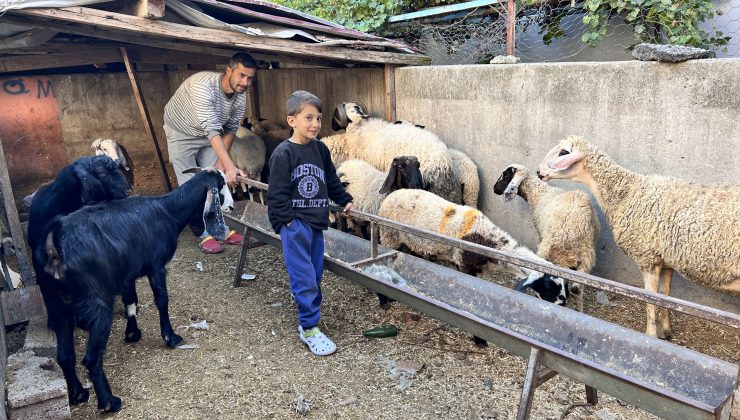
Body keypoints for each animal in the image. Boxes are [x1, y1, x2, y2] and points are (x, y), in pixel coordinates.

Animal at [36, 168, 233, 414]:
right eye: (222, 185)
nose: (231, 206)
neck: (168, 211)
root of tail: (54, 245)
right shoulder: (156, 266)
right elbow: (161, 299)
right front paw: (170, 337)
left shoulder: (127, 273)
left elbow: (131, 300)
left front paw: (132, 334)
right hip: (97, 302)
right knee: (91, 358)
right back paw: (109, 402)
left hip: (56, 305)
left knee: (65, 355)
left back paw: (79, 394)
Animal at [492, 164, 600, 312]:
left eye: (506, 175)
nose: (494, 189)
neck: (539, 193)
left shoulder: (540, 234)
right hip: (586, 259)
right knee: (577, 289)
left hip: (552, 250)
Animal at [536, 136, 740, 340]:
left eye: (564, 152)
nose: (538, 172)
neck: (627, 192)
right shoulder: (666, 261)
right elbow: (665, 295)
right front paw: (666, 331)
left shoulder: (647, 258)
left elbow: (651, 300)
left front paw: (651, 335)